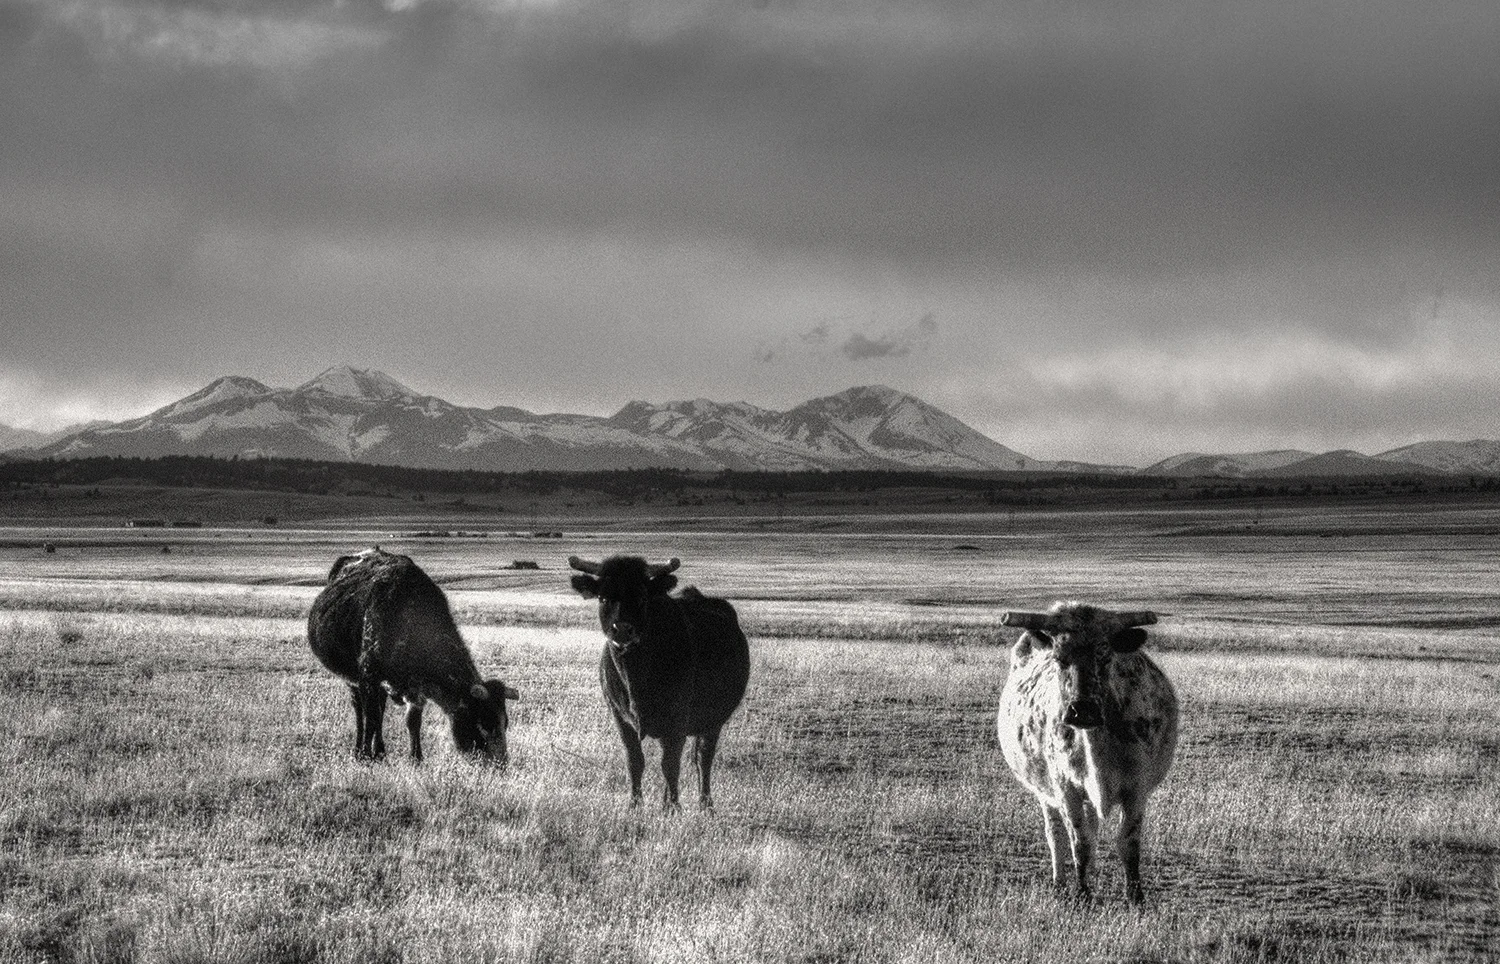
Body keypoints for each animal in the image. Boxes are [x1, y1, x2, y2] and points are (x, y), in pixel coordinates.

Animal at [307, 547, 519, 764]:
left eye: (505, 723)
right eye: (483, 723)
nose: (500, 763)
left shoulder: (416, 688)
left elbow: (412, 721)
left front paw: (416, 757)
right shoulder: (368, 677)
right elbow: (371, 717)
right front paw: (365, 754)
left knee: (380, 709)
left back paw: (380, 751)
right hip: (352, 679)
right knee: (360, 710)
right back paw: (360, 750)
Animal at [568, 555, 750, 810]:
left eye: (642, 597)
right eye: (603, 597)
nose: (622, 630)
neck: (636, 678)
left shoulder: (678, 720)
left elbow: (671, 765)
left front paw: (674, 808)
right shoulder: (619, 716)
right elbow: (635, 760)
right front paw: (635, 805)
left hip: (714, 720)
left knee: (703, 758)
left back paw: (705, 804)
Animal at [996, 602, 1178, 904]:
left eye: (1104, 653)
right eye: (1059, 657)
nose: (1082, 711)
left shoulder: (1137, 788)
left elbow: (1128, 841)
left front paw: (1135, 895)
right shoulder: (1065, 788)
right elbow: (1079, 841)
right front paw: (1082, 892)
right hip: (1045, 791)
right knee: (1056, 834)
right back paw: (1060, 882)